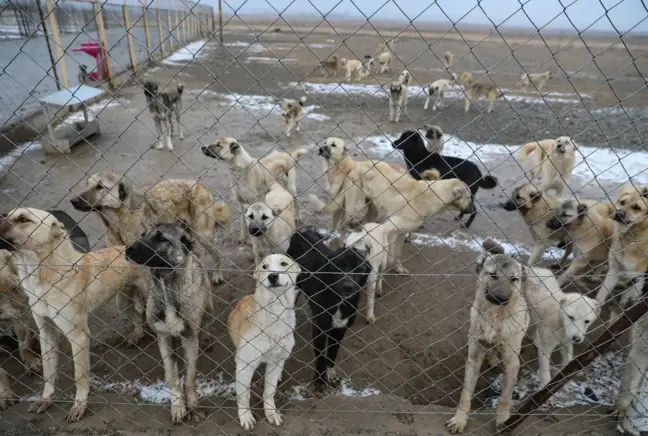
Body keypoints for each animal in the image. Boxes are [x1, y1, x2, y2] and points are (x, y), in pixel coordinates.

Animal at [0, 208, 149, 422]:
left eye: (23, 219)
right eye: (6, 215)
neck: (43, 275)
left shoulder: (78, 337)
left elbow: (80, 376)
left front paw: (79, 406)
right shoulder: (46, 332)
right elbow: (48, 371)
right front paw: (46, 399)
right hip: (122, 300)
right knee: (137, 315)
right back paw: (136, 335)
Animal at [124, 221, 210, 422]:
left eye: (161, 238)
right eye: (143, 234)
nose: (128, 249)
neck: (167, 289)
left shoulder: (189, 337)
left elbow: (190, 377)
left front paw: (193, 407)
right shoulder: (163, 337)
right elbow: (172, 376)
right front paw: (178, 406)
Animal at [228, 254, 302, 430]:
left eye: (284, 264)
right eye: (264, 267)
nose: (273, 276)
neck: (275, 312)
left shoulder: (275, 362)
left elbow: (269, 391)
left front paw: (271, 412)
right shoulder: (245, 365)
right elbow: (244, 395)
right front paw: (245, 416)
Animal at [288, 228, 372, 392]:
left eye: (360, 269)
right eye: (338, 266)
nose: (348, 287)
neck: (339, 300)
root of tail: (302, 232)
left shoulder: (340, 329)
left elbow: (332, 353)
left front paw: (331, 374)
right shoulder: (320, 329)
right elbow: (320, 356)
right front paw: (319, 380)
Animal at [446, 240, 532, 434]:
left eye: (513, 279)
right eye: (493, 275)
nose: (500, 299)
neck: (494, 318)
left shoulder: (512, 362)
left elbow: (505, 397)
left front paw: (503, 420)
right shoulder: (474, 357)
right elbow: (465, 394)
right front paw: (459, 419)